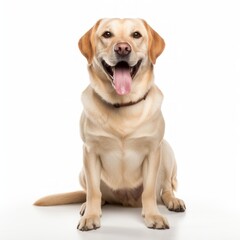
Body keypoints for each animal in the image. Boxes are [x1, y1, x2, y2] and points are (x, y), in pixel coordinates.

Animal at [34, 18, 186, 231]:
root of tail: (127, 201)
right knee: (93, 193)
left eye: (136, 35)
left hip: (166, 151)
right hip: (82, 171)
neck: (122, 105)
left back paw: (173, 201)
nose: (122, 48)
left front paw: (153, 216)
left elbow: (148, 191)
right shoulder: (90, 151)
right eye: (107, 34)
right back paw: (86, 206)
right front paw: (90, 216)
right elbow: (93, 191)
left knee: (166, 188)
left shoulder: (152, 151)